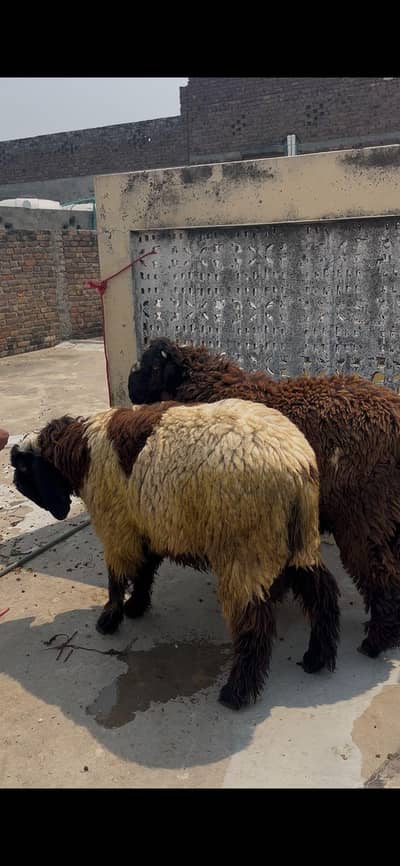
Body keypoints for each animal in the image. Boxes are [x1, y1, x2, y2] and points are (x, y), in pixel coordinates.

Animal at [11, 398, 340, 710]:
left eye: (24, 471)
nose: (14, 484)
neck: (81, 451)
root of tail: (296, 464)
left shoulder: (117, 527)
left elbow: (117, 578)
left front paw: (109, 619)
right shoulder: (147, 524)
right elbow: (144, 571)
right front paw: (136, 607)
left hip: (245, 548)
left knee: (254, 623)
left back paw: (237, 691)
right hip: (298, 538)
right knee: (321, 593)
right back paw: (317, 657)